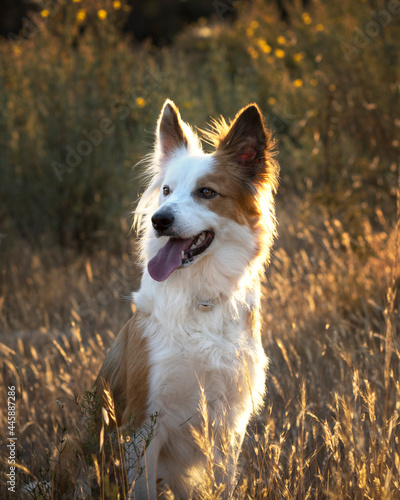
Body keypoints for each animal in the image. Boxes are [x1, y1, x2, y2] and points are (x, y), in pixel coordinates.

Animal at [95, 99, 280, 498]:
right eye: (166, 190)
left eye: (206, 192)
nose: (159, 221)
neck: (200, 297)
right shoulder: (141, 424)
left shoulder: (228, 425)